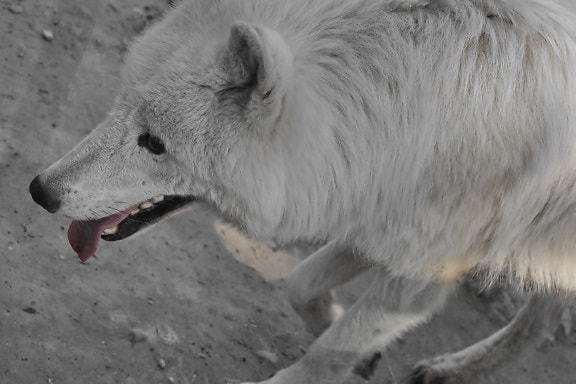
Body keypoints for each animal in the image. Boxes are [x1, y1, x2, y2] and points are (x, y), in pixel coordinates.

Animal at [30, 0, 576, 382]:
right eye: (120, 104)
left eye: (154, 143)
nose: (39, 191)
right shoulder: (375, 217)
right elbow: (300, 285)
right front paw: (350, 341)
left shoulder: (425, 268)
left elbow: (330, 349)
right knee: (540, 324)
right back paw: (455, 371)